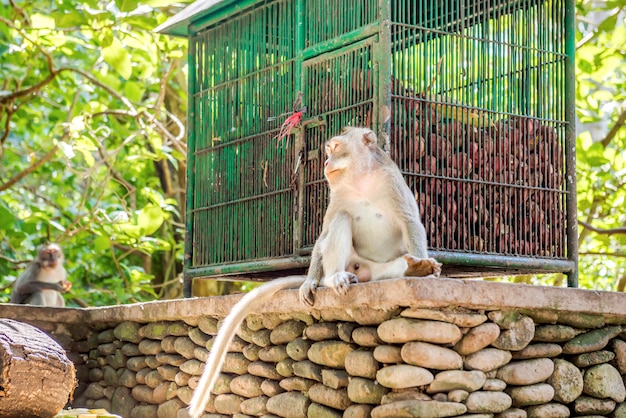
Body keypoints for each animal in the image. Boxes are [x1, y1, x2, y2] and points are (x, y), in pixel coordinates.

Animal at [188, 128, 442, 418]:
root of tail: (363, 270)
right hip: (350, 260)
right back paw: (333, 279)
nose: (326, 162)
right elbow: (323, 235)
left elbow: (411, 223)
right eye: (328, 149)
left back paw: (413, 268)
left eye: (336, 147)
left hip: (380, 271)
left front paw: (422, 267)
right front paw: (309, 281)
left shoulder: (392, 181)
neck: (360, 181)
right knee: (341, 220)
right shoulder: (337, 195)